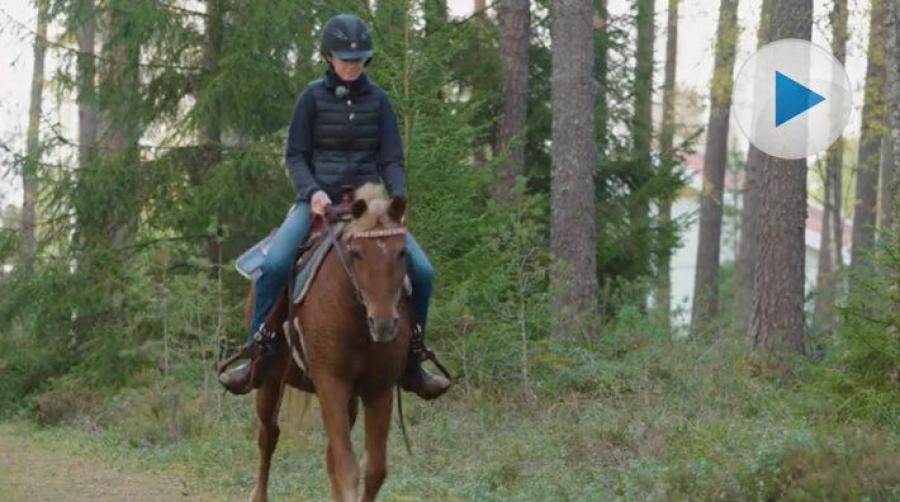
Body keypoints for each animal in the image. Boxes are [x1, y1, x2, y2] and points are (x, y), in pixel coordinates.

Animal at [248, 187, 414, 502]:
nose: (384, 323)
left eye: (402, 251)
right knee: (267, 437)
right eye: (356, 253)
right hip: (270, 380)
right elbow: (347, 469)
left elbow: (374, 470)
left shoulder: (379, 388)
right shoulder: (331, 383)